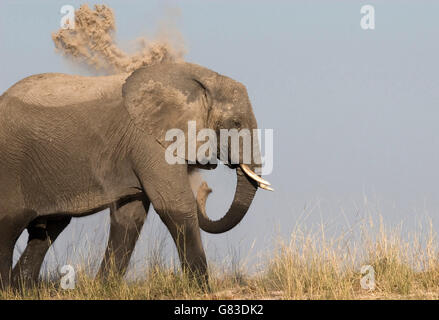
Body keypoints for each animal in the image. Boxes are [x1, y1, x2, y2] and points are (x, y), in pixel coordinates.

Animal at [0, 62, 272, 288]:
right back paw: (8, 289)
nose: (206, 188)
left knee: (49, 228)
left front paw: (105, 288)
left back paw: (22, 288)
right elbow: (175, 205)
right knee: (9, 224)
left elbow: (130, 216)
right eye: (236, 123)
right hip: (10, 165)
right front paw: (202, 289)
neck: (202, 78)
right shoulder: (149, 141)